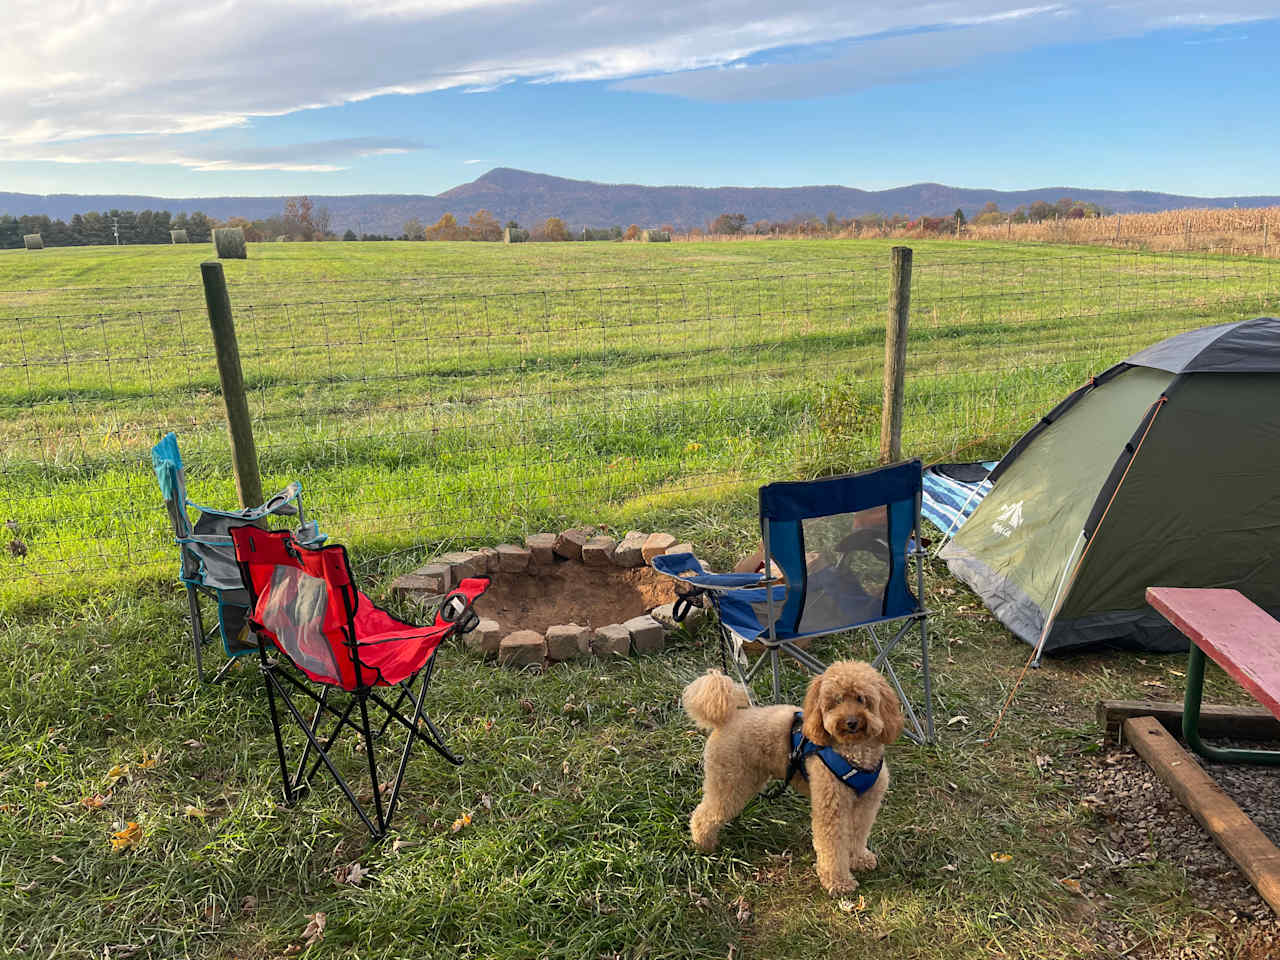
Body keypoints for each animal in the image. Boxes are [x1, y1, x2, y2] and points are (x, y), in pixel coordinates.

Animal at [686, 660, 906, 896]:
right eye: (836, 701)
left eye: (861, 699)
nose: (851, 722)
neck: (854, 752)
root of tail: (726, 718)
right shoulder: (832, 807)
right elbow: (832, 846)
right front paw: (838, 882)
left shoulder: (865, 804)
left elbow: (857, 834)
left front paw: (858, 859)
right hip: (728, 780)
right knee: (704, 815)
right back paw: (704, 846)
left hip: (745, 779)